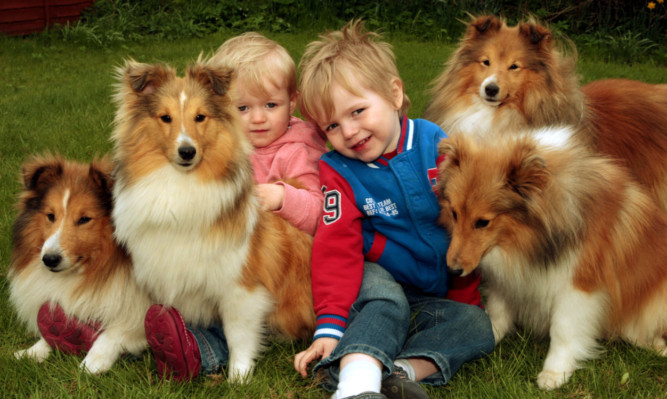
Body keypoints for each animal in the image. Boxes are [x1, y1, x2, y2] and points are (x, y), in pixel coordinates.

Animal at [8, 154, 150, 376]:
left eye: (84, 219)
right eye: (51, 216)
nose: (49, 259)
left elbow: (116, 330)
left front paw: (93, 362)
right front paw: (33, 352)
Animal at [109, 60, 316, 384]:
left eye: (200, 117)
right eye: (165, 118)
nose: (187, 152)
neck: (180, 185)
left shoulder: (241, 287)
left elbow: (238, 335)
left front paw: (239, 377)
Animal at [436, 130, 664, 390]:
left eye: (483, 222)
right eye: (454, 213)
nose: (452, 270)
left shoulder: (578, 288)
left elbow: (563, 329)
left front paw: (555, 372)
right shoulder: (509, 278)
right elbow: (497, 311)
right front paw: (486, 336)